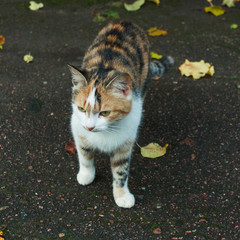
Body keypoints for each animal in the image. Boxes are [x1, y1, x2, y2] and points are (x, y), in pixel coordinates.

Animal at [68, 21, 173, 208]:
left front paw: (122, 195)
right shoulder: (78, 127)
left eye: (105, 112)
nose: (90, 127)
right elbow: (85, 154)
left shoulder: (125, 142)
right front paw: (86, 175)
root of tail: (126, 22)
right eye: (81, 109)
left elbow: (121, 171)